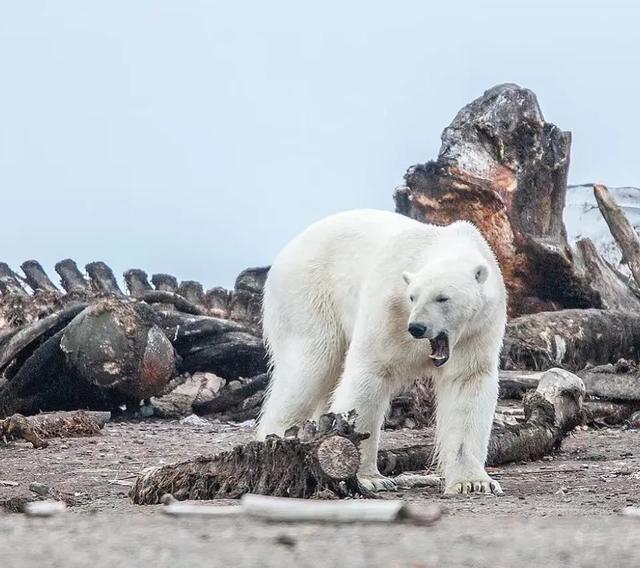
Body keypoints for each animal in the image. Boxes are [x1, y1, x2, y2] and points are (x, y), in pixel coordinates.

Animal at [258, 207, 508, 492]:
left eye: (442, 297)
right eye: (413, 296)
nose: (417, 327)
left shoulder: (477, 330)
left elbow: (467, 384)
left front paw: (474, 482)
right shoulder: (389, 309)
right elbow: (369, 373)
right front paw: (368, 477)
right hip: (308, 295)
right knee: (310, 364)